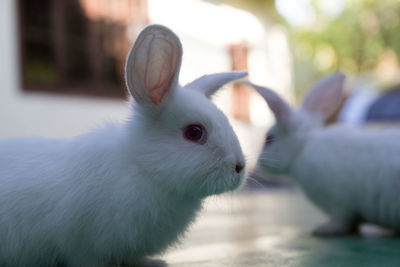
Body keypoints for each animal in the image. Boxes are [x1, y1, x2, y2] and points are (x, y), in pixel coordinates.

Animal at [248, 73, 400, 237]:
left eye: (269, 139)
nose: (260, 163)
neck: (304, 146)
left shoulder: (340, 205)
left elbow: (341, 223)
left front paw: (323, 229)